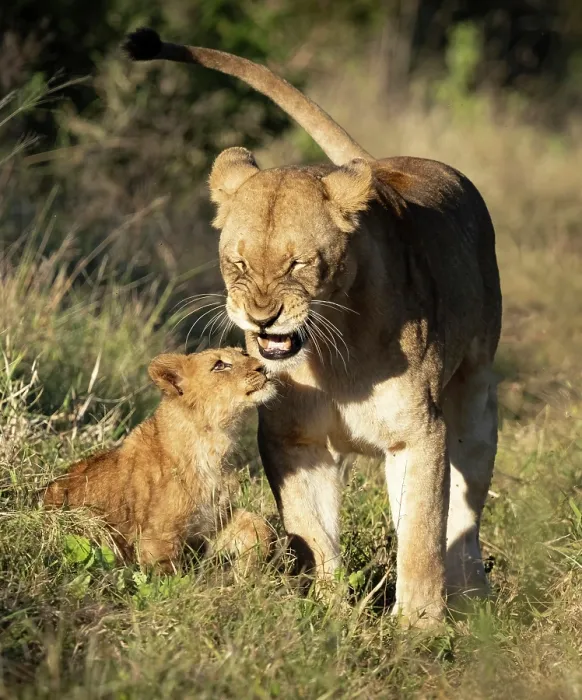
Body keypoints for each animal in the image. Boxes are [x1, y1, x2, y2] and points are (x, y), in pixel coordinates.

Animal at [43, 348, 276, 574]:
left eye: (244, 353)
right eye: (219, 365)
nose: (263, 367)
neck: (215, 445)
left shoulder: (210, 521)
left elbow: (258, 526)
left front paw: (247, 572)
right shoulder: (157, 535)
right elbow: (168, 575)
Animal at [124, 28, 502, 626]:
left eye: (298, 264)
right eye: (238, 263)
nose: (261, 316)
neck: (333, 354)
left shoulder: (419, 434)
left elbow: (421, 535)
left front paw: (418, 627)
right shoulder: (292, 439)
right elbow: (311, 532)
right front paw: (327, 613)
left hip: (477, 398)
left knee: (467, 508)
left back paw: (471, 593)